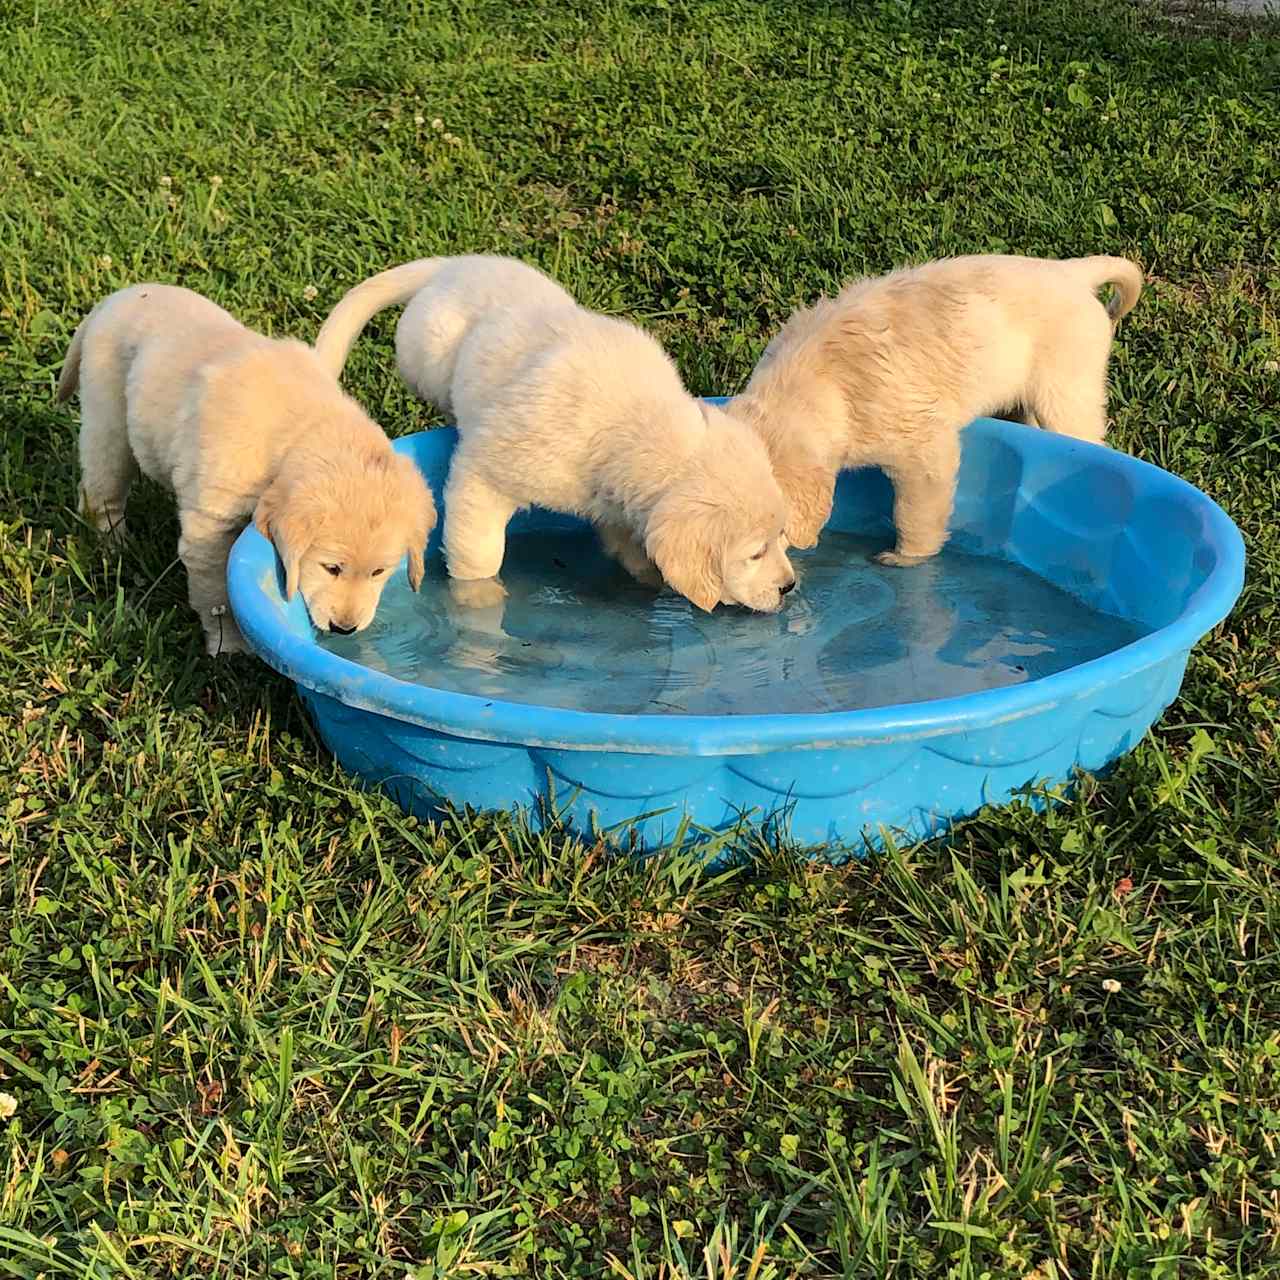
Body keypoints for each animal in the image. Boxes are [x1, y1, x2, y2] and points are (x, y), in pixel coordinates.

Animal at [57, 286, 437, 655]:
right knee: (101, 492)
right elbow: (217, 594)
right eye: (332, 568)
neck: (304, 429)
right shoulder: (209, 525)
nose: (344, 629)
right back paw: (113, 546)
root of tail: (117, 298)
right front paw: (230, 645)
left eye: (378, 571)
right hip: (107, 418)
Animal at [314, 256, 793, 614]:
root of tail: (456, 264)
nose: (789, 586)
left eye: (780, 536)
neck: (629, 423)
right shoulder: (485, 473)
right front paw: (478, 600)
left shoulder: (617, 505)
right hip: (428, 358)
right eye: (754, 553)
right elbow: (478, 551)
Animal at [737, 252, 1146, 563]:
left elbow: (915, 508)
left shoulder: (921, 444)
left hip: (1067, 385)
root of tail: (1071, 272)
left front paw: (903, 558)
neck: (813, 380)